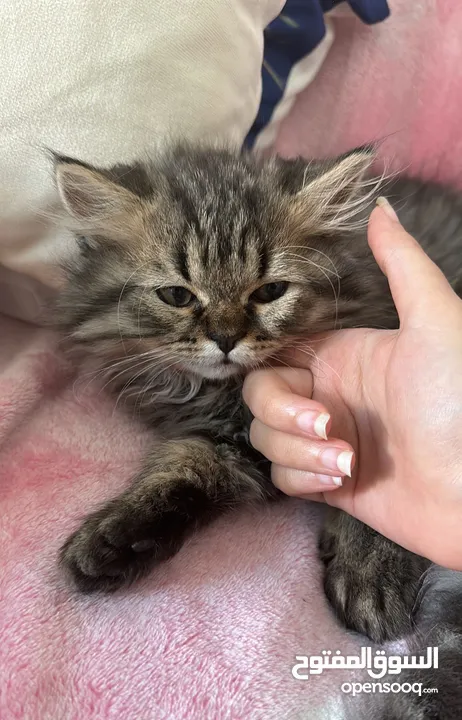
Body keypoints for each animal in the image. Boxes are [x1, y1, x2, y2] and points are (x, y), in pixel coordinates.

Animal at [54, 143, 462, 648]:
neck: (227, 395)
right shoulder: (225, 443)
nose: (225, 338)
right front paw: (115, 537)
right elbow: (184, 467)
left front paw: (371, 569)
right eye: (177, 296)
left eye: (271, 291)